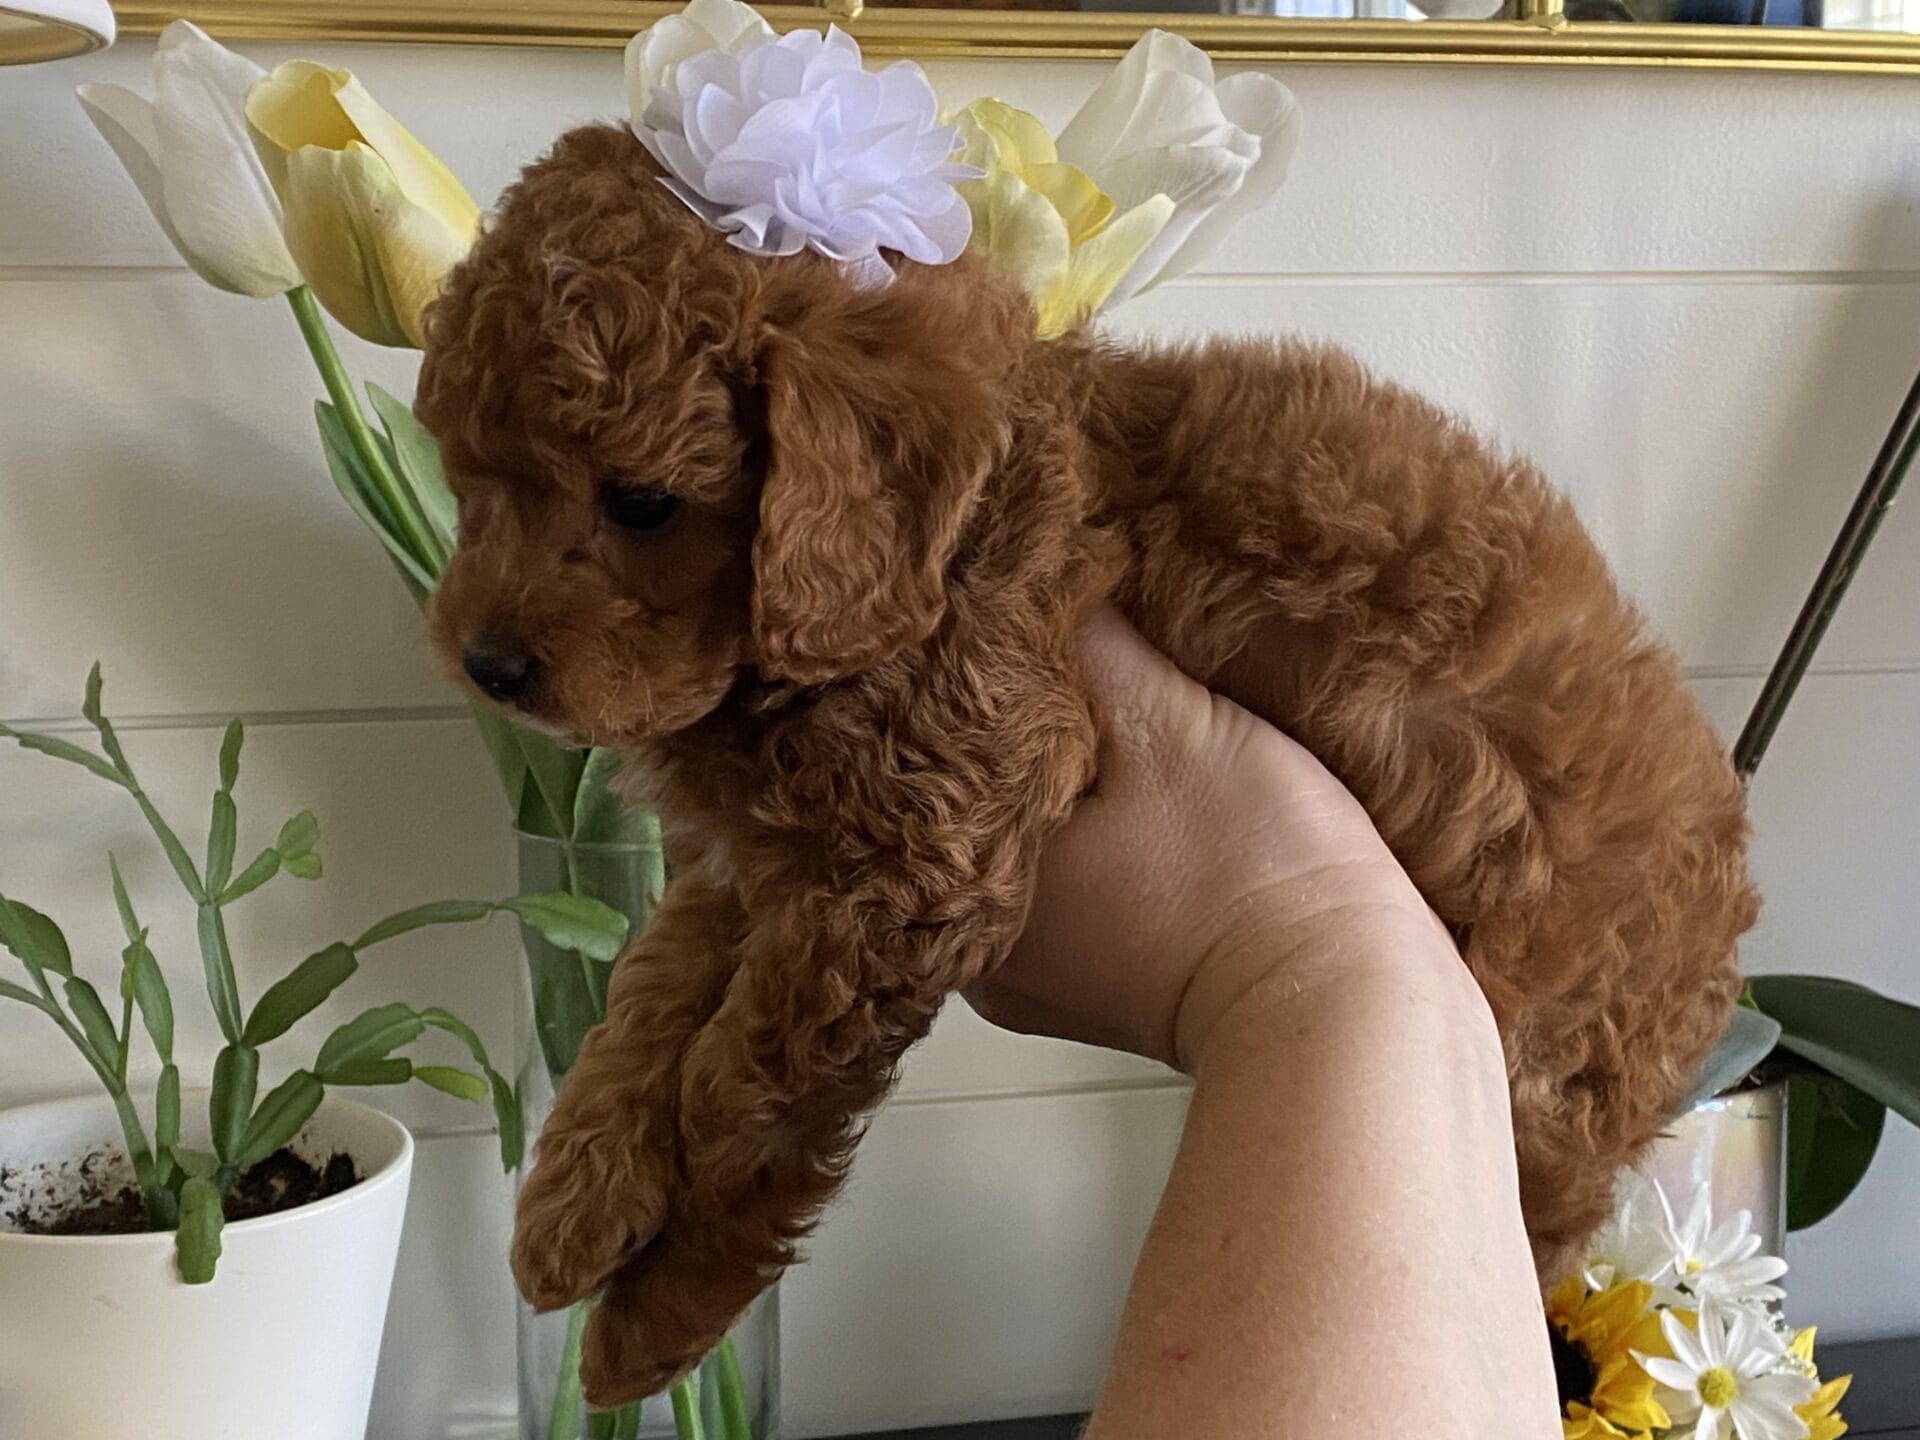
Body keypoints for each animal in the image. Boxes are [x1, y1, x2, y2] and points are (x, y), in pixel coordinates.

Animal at [420, 122, 1757, 1406]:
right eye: (470, 483)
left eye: (641, 503)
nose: (487, 663)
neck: (958, 537)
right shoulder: (768, 864)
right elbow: (653, 999)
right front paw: (577, 1200)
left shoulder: (921, 846)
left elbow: (748, 1112)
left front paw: (650, 1315)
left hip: (1545, 1083)